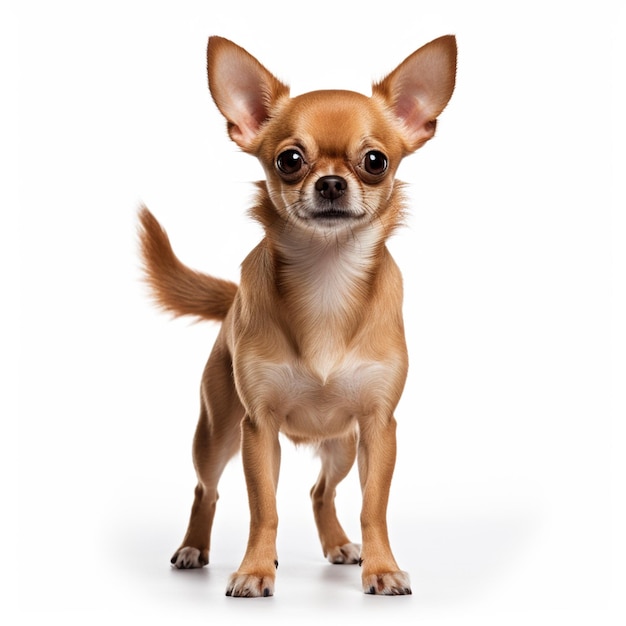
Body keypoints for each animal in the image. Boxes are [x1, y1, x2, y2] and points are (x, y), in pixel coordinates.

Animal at [139, 35, 456, 596]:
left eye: (375, 160)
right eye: (289, 159)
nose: (330, 183)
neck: (326, 279)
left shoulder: (379, 428)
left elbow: (374, 507)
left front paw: (382, 568)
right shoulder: (258, 430)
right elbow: (262, 509)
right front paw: (254, 571)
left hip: (343, 447)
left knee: (319, 491)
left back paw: (339, 545)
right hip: (216, 433)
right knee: (206, 489)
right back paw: (194, 547)